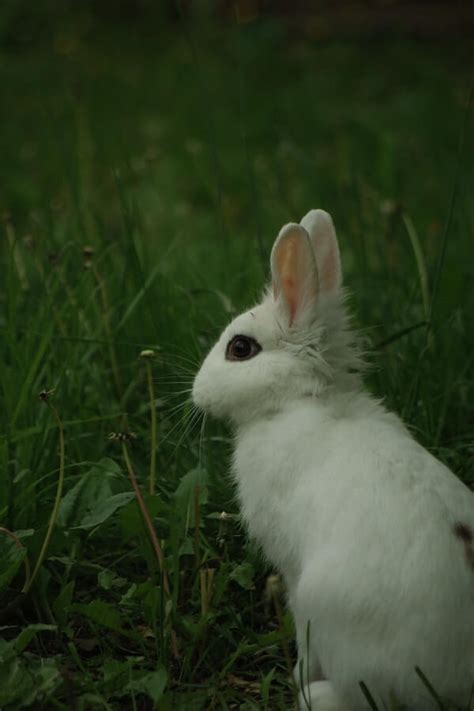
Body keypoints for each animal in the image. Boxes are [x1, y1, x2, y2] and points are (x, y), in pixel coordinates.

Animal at [191, 209, 472, 708]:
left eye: (240, 349)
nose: (195, 393)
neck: (296, 401)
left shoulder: (293, 571)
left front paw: (297, 675)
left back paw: (313, 694)